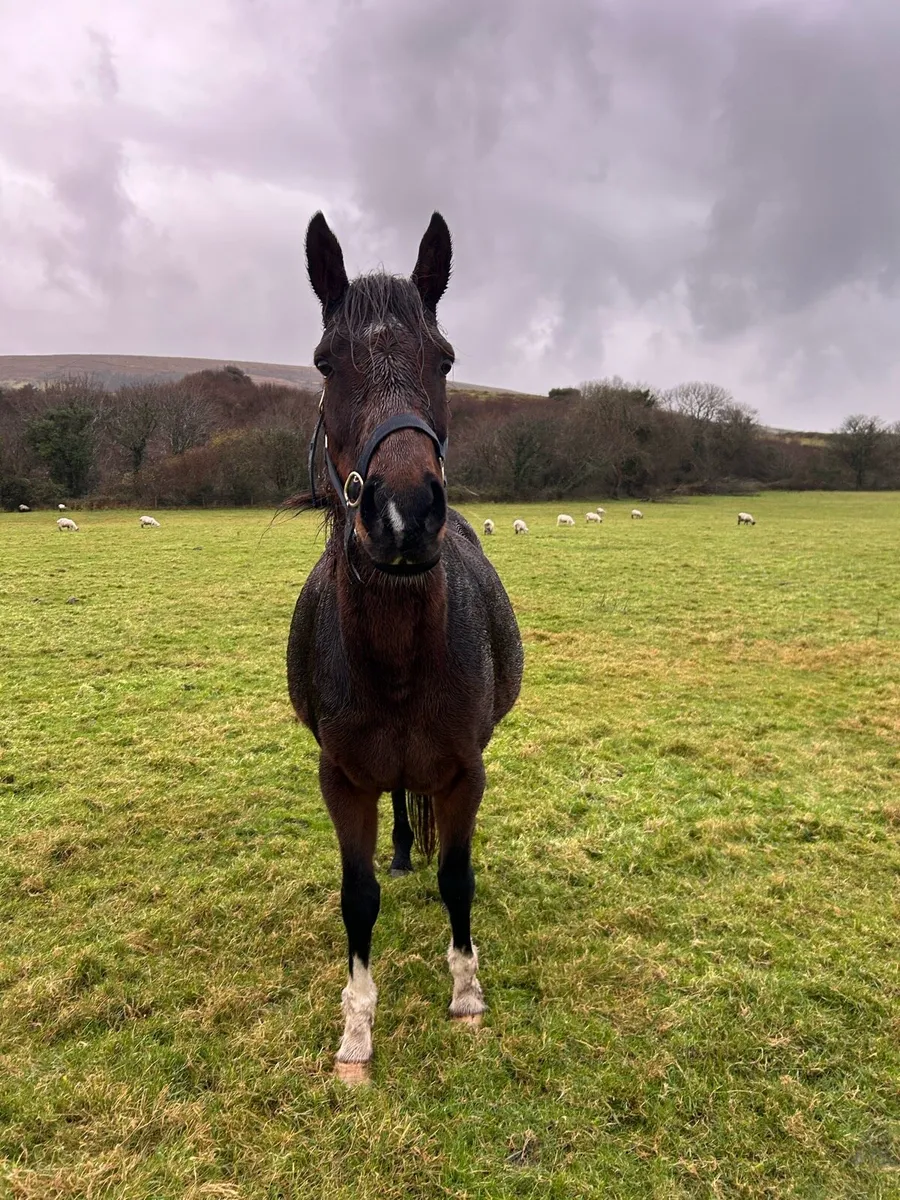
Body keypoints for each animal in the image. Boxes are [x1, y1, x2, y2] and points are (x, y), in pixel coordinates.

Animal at [286, 212, 523, 1081]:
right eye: (326, 363)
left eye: (444, 358)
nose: (405, 513)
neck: (394, 659)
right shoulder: (342, 779)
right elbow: (357, 898)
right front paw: (357, 1027)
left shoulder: (464, 771)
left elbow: (458, 878)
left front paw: (466, 994)